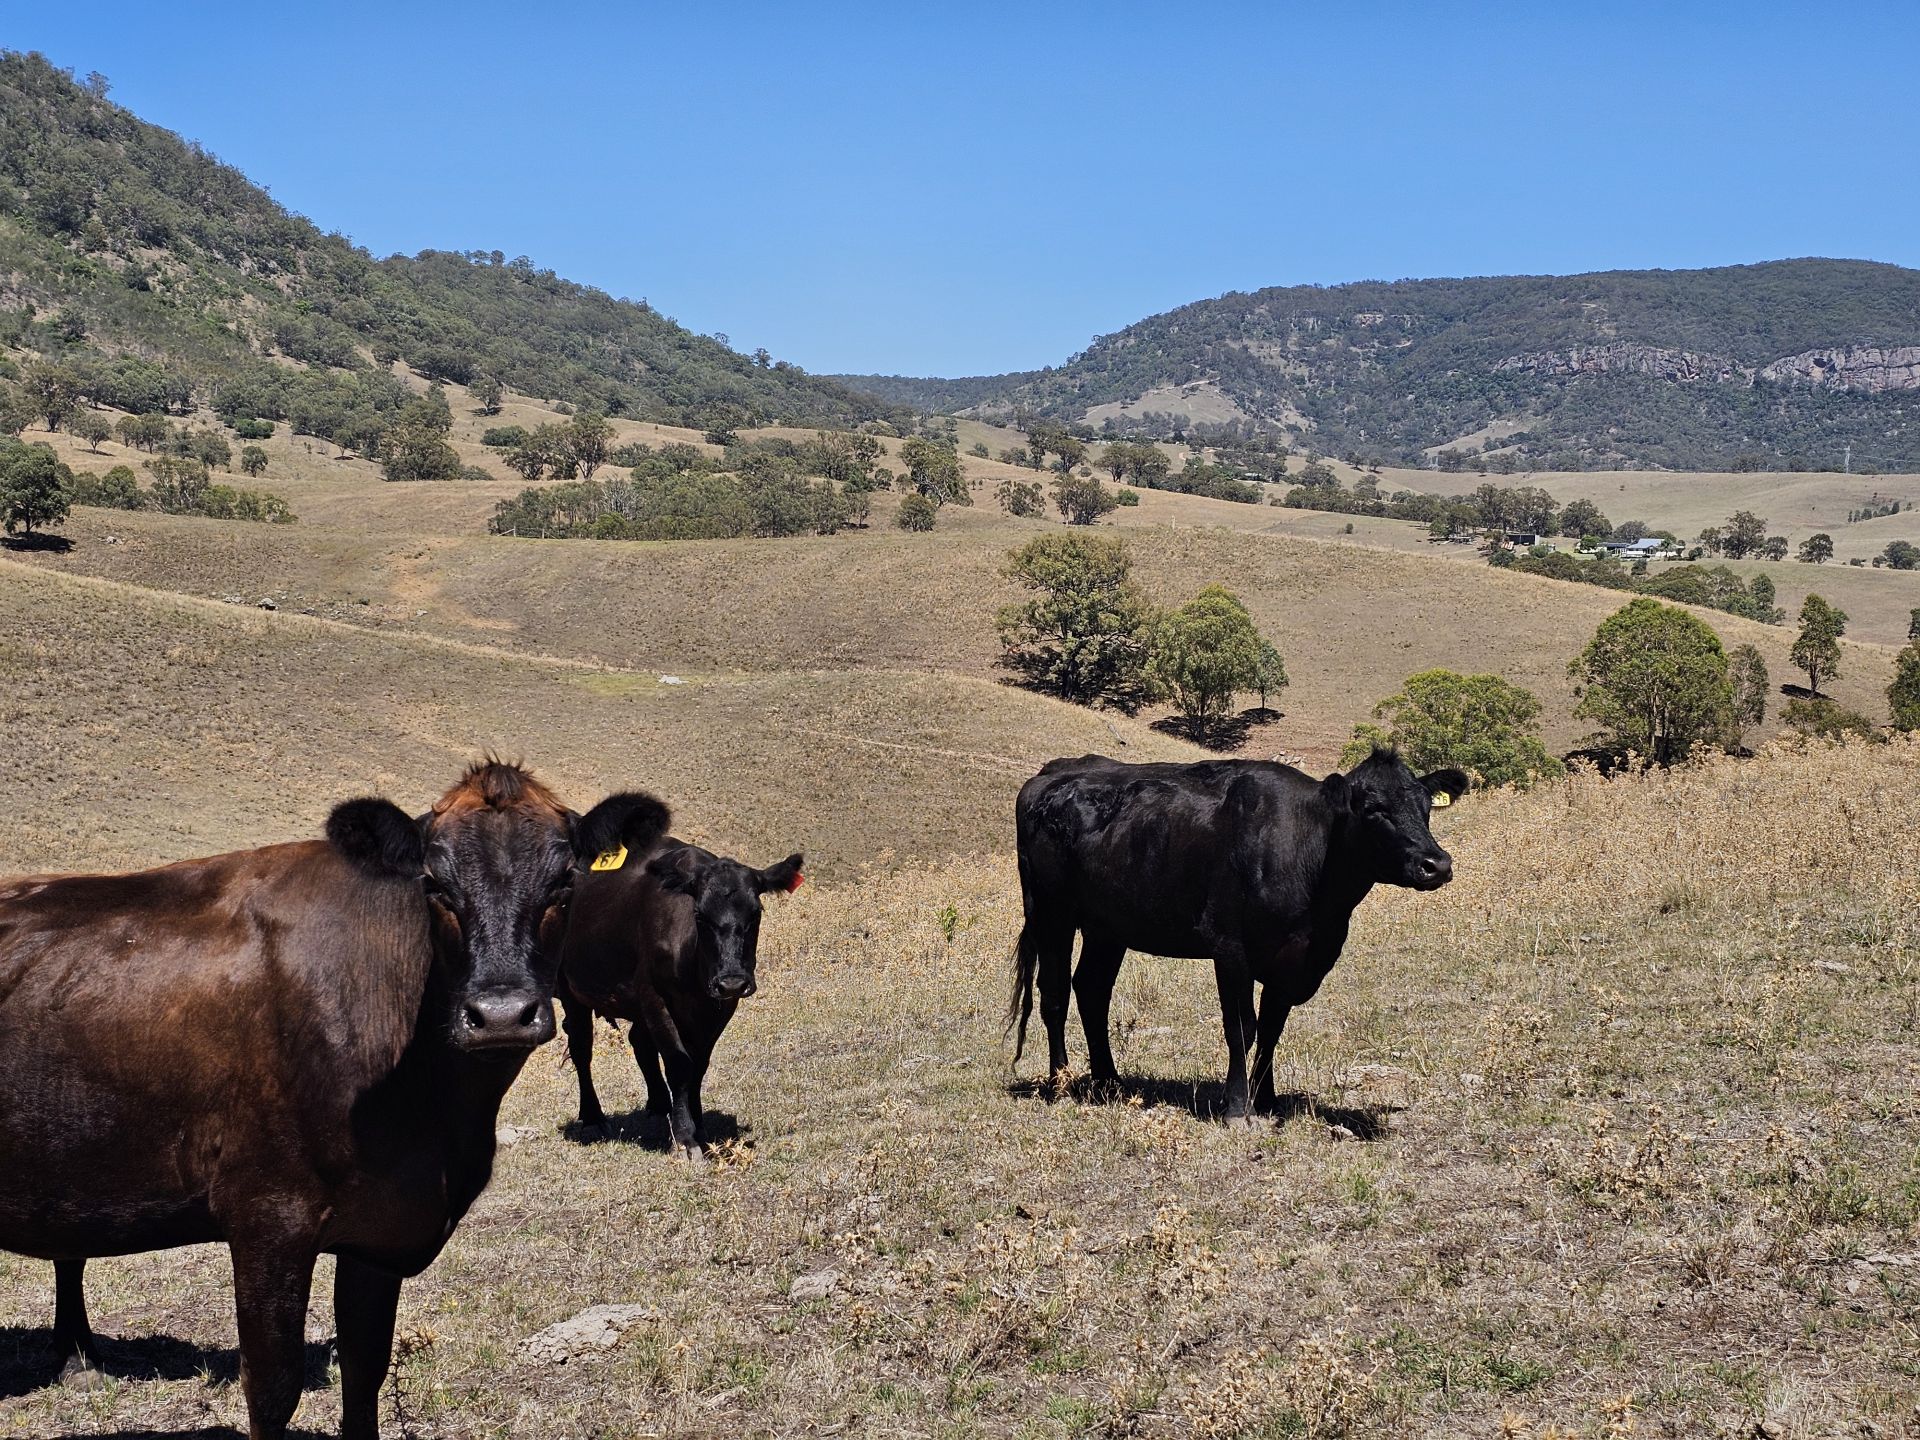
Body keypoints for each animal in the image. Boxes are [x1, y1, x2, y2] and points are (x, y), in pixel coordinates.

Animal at [0, 761, 670, 1440]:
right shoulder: (267, 1217)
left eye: (566, 881)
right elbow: (273, 1387)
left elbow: (365, 1371)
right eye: (433, 883)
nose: (501, 1014)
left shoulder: (379, 1232)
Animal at [552, 840, 803, 1164]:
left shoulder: (718, 1008)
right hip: (570, 987)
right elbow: (680, 1063)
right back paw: (593, 1117)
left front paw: (699, 1128)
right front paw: (686, 1138)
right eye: (700, 916)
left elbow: (698, 1066)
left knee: (639, 1042)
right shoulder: (655, 997)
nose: (732, 981)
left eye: (755, 914)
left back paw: (659, 1105)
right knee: (582, 1047)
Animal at [1009, 749, 1466, 1122]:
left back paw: (1110, 1083)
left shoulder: (1293, 959)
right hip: (1051, 911)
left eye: (1426, 806)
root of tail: (1052, 773)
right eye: (1373, 809)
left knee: (1092, 991)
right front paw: (1235, 1108)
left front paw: (1268, 1102)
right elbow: (1242, 1027)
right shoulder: (1230, 948)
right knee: (1054, 994)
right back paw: (1061, 1083)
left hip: (1108, 926)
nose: (1437, 864)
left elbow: (1272, 1029)